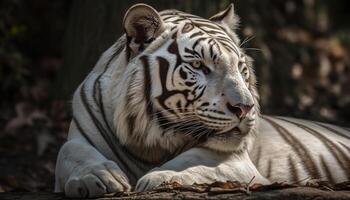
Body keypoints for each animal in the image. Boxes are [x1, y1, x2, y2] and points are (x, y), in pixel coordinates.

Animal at [54, 3, 350, 198]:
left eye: (241, 68)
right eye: (199, 66)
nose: (245, 108)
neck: (150, 142)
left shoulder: (236, 160)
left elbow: (196, 161)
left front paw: (163, 177)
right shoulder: (80, 137)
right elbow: (68, 152)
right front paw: (99, 177)